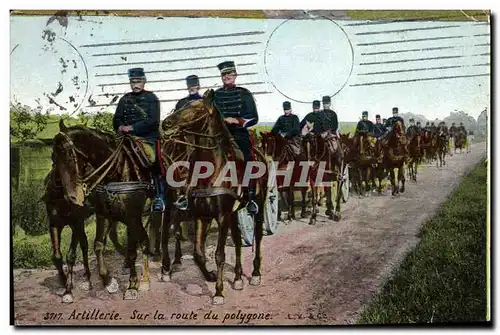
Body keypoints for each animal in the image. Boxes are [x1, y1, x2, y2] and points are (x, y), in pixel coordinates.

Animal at [52, 122, 160, 304]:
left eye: (69, 156)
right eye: (53, 158)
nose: (71, 197)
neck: (117, 172)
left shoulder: (132, 216)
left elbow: (133, 250)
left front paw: (132, 286)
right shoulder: (103, 214)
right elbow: (98, 245)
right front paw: (108, 281)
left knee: (151, 237)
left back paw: (151, 273)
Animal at [161, 90, 270, 306]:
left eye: (196, 109)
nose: (166, 123)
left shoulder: (221, 216)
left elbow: (219, 254)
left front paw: (219, 292)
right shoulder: (202, 216)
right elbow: (198, 254)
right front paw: (210, 276)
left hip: (259, 204)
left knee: (258, 235)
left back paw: (255, 273)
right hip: (234, 214)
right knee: (237, 240)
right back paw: (237, 278)